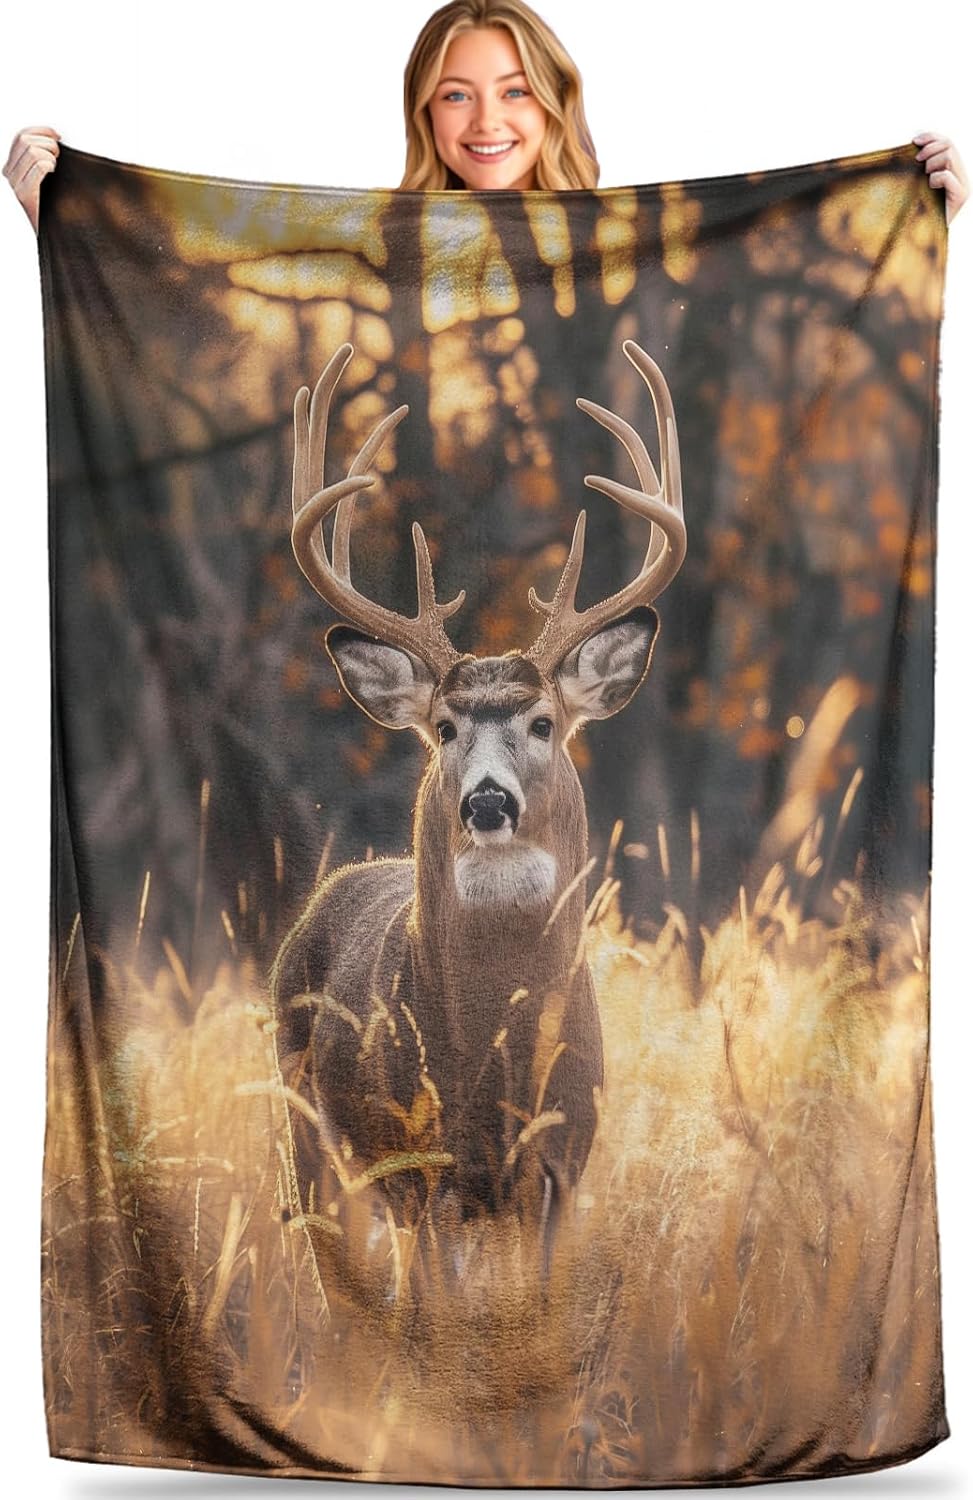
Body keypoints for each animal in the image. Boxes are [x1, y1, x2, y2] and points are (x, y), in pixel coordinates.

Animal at [271, 338, 685, 1292]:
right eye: (444, 728)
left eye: (543, 723)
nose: (488, 799)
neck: (494, 1054)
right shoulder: (428, 1173)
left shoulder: (559, 1166)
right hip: (315, 1140)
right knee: (344, 1285)